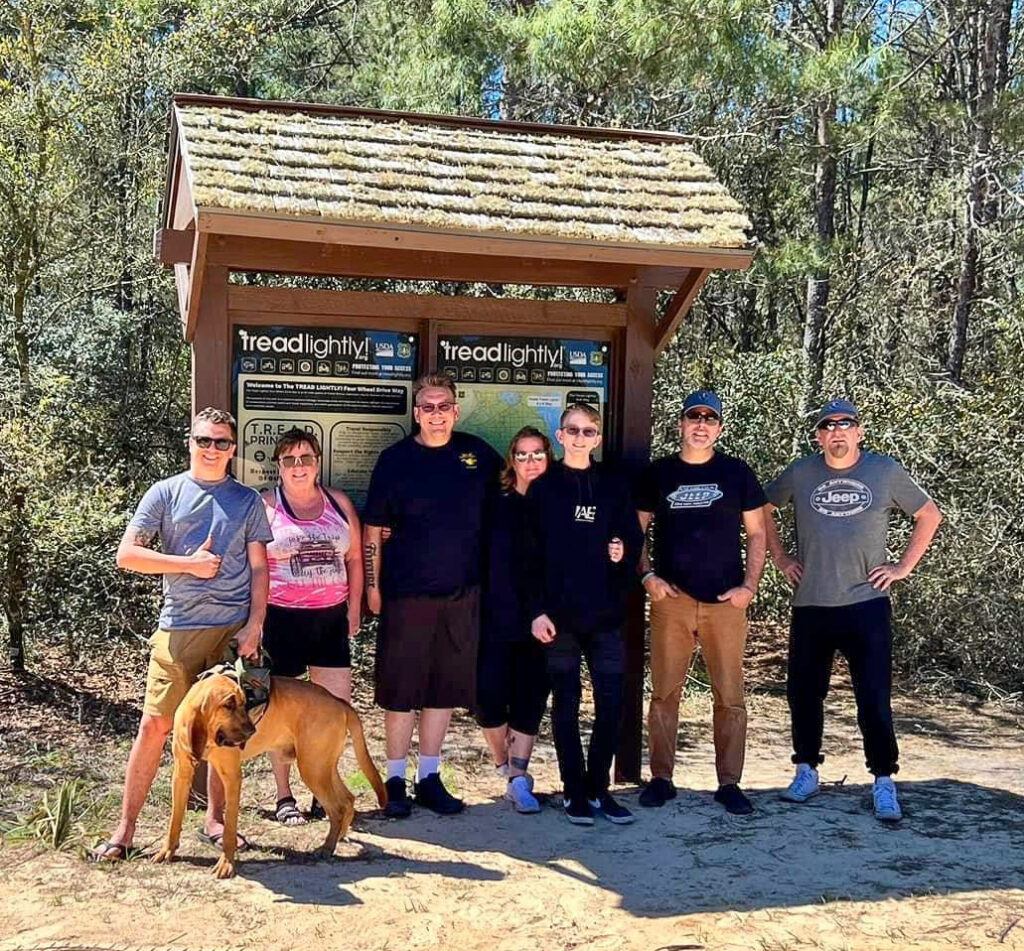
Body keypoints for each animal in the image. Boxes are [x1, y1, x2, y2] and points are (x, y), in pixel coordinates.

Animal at [152, 671, 387, 880]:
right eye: (228, 705)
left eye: (244, 702)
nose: (251, 731)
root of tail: (338, 701)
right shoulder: (181, 774)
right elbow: (174, 820)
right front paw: (167, 851)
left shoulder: (232, 778)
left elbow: (229, 830)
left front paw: (226, 864)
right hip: (322, 767)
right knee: (348, 800)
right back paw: (339, 838)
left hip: (313, 769)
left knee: (338, 807)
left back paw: (327, 848)